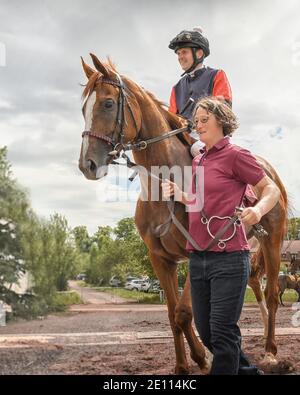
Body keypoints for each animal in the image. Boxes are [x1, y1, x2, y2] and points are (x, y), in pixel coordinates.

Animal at [77, 55, 288, 374]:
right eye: (83, 109)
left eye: (108, 104)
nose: (87, 164)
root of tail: (269, 172)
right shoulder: (160, 259)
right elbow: (173, 314)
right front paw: (186, 363)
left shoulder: (195, 252)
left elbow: (185, 312)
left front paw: (202, 357)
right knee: (255, 289)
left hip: (272, 242)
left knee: (273, 295)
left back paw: (271, 350)